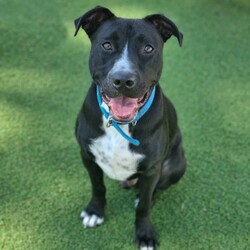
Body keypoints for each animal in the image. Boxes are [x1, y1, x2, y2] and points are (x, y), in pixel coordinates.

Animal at [73, 5, 186, 250]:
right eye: (106, 45)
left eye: (148, 48)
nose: (123, 80)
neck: (120, 124)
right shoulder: (87, 156)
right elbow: (98, 186)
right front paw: (95, 211)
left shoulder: (152, 169)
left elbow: (144, 206)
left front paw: (144, 234)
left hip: (176, 166)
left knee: (151, 191)